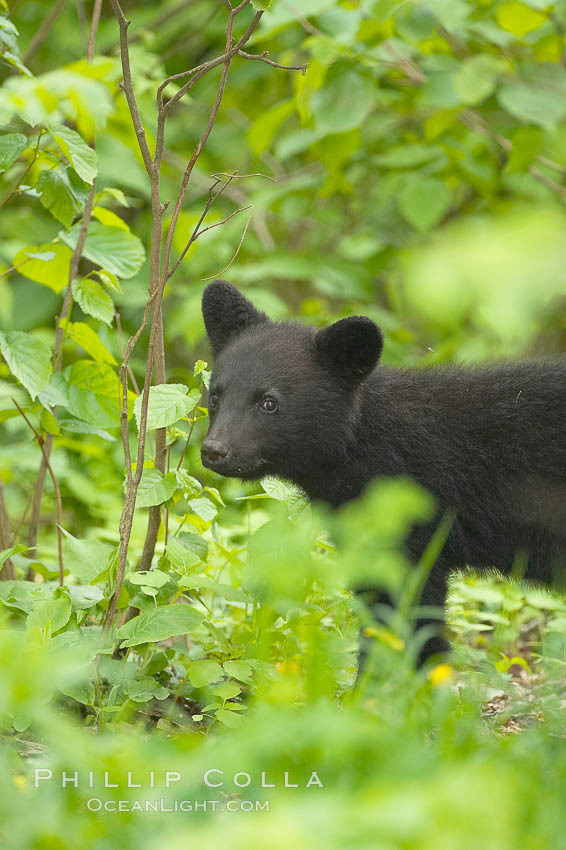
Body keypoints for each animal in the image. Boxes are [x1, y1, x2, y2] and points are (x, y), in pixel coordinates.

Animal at [201, 279, 566, 665]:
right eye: (216, 395)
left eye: (269, 402)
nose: (215, 450)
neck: (367, 445)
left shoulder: (412, 520)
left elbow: (404, 612)